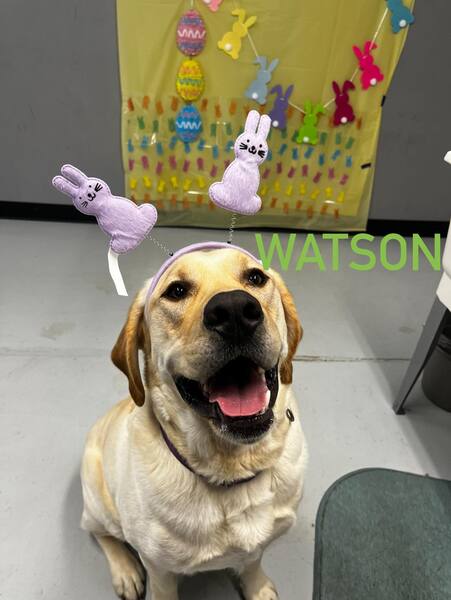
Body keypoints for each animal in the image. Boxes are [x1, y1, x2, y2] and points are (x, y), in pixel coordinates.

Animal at [80, 245, 307, 600]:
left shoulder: (260, 543)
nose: (234, 310)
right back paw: (125, 571)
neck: (231, 468)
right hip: (99, 502)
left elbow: (252, 560)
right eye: (176, 291)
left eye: (256, 278)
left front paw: (256, 587)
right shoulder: (159, 567)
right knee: (100, 532)